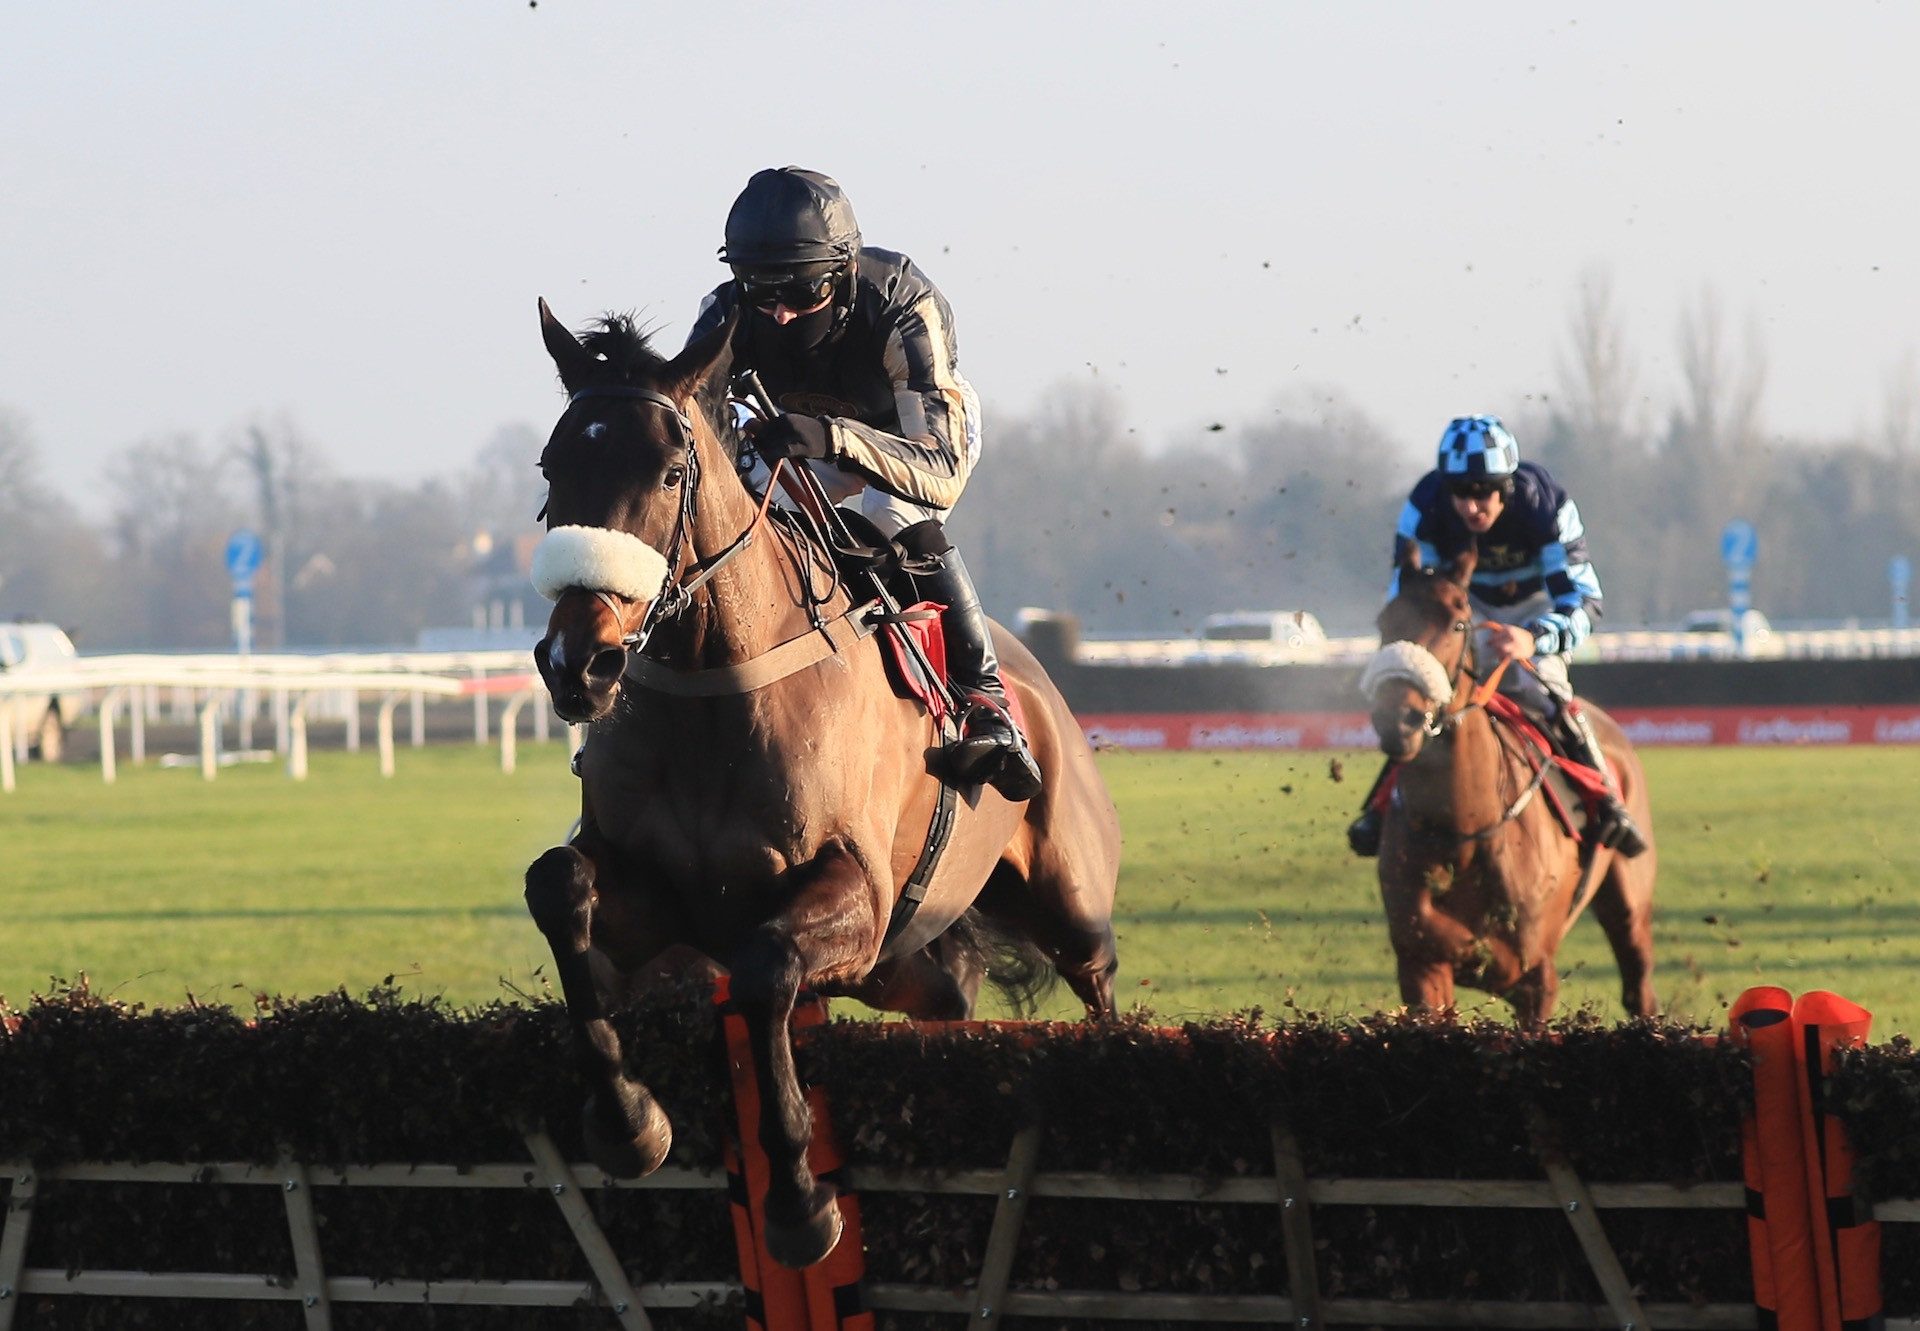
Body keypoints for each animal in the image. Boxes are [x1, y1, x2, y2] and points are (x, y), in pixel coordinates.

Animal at [526, 297, 1121, 1267]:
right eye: (554, 464)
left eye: (668, 472)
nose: (580, 660)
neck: (717, 690)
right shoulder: (652, 895)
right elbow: (560, 884)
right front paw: (630, 1122)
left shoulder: (856, 891)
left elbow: (767, 968)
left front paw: (802, 1202)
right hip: (901, 967)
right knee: (950, 997)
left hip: (1065, 900)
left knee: (1100, 984)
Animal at [1359, 545, 1658, 1021]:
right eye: (1384, 622)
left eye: (1458, 623)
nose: (1398, 719)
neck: (1463, 832)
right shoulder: (1422, 965)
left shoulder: (1536, 977)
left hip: (1630, 900)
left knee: (1639, 986)